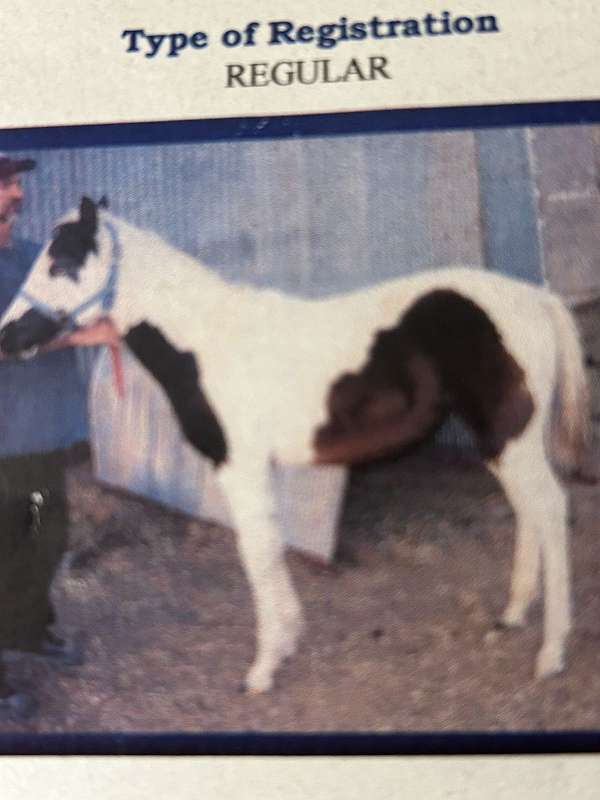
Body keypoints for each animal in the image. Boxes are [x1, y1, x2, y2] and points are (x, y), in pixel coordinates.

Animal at [0, 197, 588, 692]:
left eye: (60, 264)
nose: (7, 337)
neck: (209, 340)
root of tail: (535, 297)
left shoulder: (240, 466)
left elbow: (256, 551)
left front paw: (262, 669)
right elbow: (272, 546)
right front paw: (286, 642)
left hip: (508, 437)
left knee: (549, 508)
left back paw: (551, 654)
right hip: (504, 442)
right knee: (529, 512)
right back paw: (512, 616)